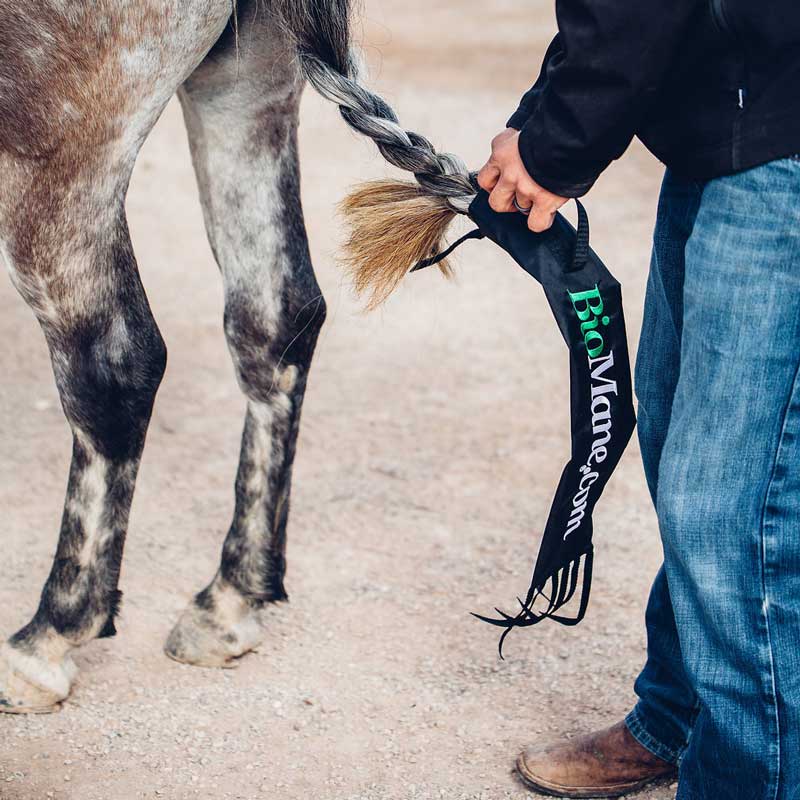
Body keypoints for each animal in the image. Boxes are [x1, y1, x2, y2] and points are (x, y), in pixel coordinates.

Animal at [0, 0, 476, 712]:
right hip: (247, 85)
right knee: (275, 319)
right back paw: (228, 600)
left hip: (56, 140)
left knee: (112, 368)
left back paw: (48, 638)